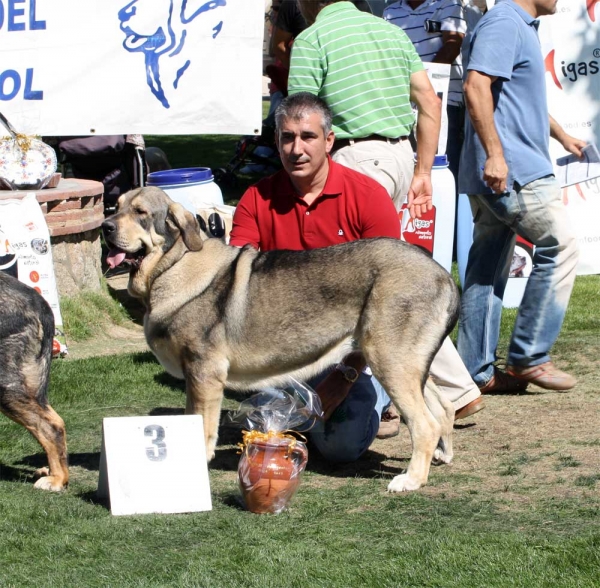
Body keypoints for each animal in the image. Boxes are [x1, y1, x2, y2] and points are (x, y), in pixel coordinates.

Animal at [103, 187, 460, 492]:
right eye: (115, 206)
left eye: (140, 212)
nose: (105, 227)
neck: (173, 264)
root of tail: (443, 275)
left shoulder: (203, 374)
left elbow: (202, 425)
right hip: (408, 364)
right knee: (443, 407)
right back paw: (443, 455)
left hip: (389, 360)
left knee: (424, 424)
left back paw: (411, 480)